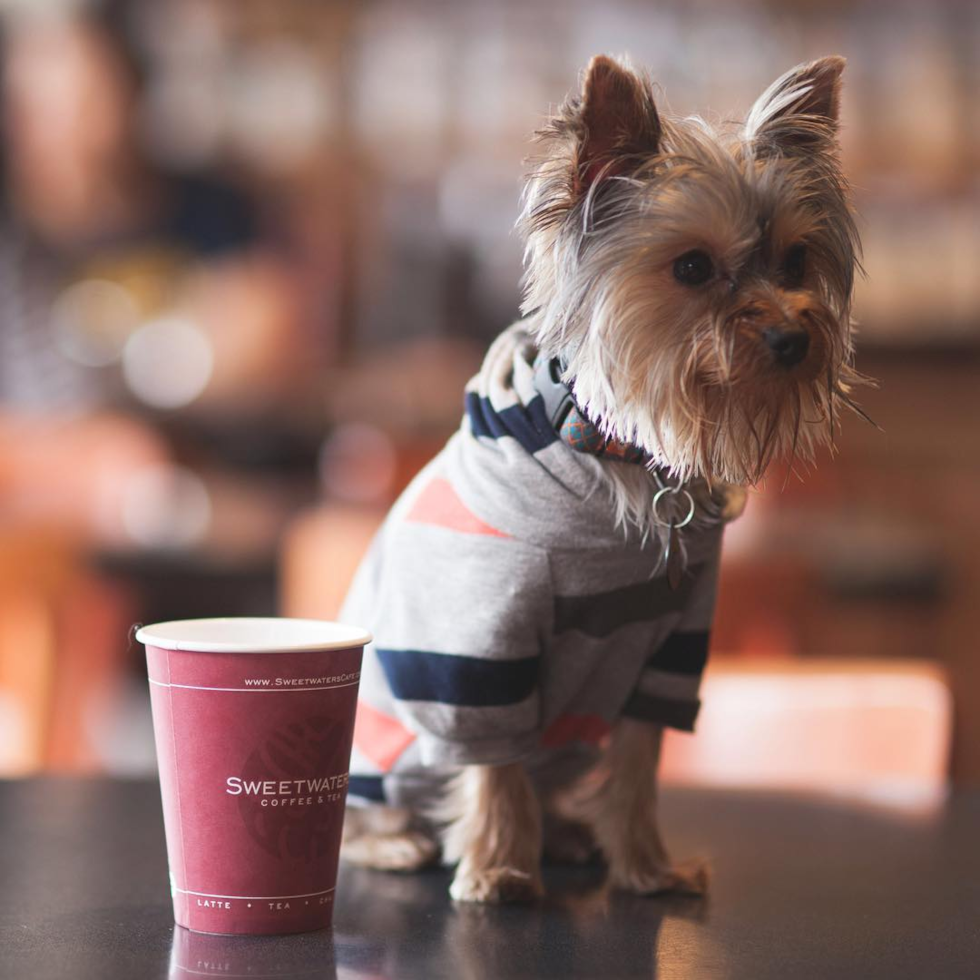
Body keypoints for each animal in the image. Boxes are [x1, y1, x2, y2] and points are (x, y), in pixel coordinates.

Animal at [336, 53, 864, 904]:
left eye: (795, 261)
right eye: (692, 267)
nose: (792, 337)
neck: (614, 453)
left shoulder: (671, 647)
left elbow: (640, 761)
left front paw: (647, 866)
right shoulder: (480, 651)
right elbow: (494, 762)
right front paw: (498, 868)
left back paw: (568, 835)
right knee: (361, 813)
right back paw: (400, 843)